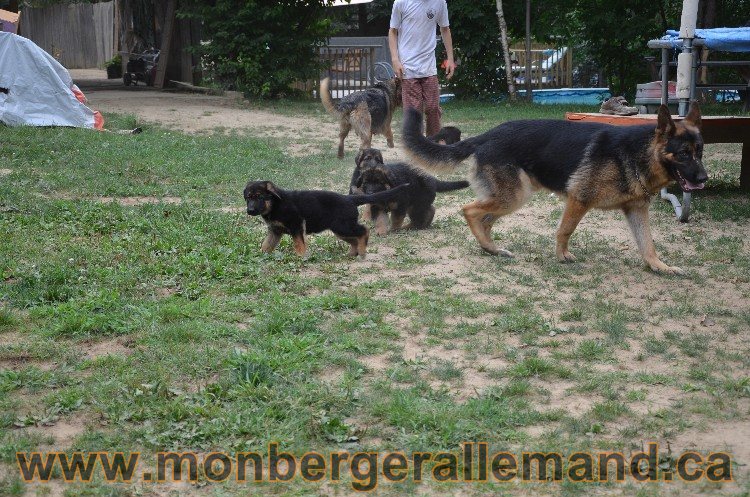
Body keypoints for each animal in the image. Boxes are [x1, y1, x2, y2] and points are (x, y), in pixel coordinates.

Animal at [245, 179, 412, 256]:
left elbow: (299, 243)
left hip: (343, 226)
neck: (275, 204)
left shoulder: (297, 225)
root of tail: (349, 199)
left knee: (364, 230)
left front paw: (301, 256)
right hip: (340, 230)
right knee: (355, 239)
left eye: (259, 197)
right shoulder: (275, 231)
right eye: (248, 198)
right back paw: (352, 253)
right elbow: (266, 244)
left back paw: (362, 250)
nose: (250, 210)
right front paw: (261, 255)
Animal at [402, 105, 708, 276]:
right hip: (513, 197)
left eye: (700, 152)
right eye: (683, 154)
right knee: (469, 210)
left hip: (513, 198)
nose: (704, 179)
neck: (635, 155)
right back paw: (489, 246)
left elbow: (648, 245)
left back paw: (492, 249)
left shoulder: (636, 210)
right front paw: (562, 256)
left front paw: (660, 267)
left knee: (483, 219)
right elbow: (565, 230)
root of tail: (486, 135)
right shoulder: (579, 199)